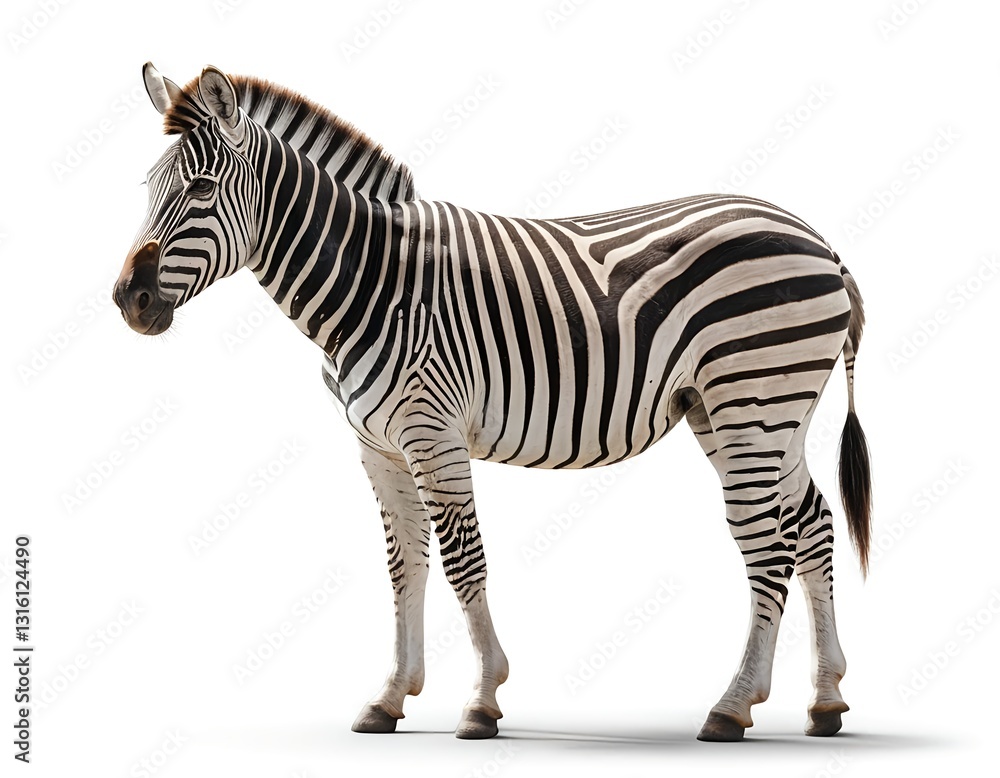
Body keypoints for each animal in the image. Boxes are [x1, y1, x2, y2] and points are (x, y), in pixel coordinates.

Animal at [114, 63, 872, 742]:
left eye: (202, 188)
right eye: (148, 187)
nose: (129, 300)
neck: (370, 283)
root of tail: (822, 242)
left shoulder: (433, 432)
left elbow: (462, 558)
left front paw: (481, 700)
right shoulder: (377, 446)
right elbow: (405, 563)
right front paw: (390, 697)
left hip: (752, 398)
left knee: (768, 541)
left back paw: (733, 706)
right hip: (758, 413)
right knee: (811, 520)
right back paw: (826, 698)